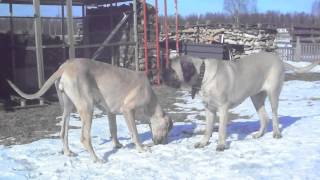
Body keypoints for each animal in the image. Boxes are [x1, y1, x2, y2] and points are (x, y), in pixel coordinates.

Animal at [7, 58, 172, 162]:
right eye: (167, 129)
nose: (161, 143)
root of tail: (65, 66)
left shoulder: (110, 112)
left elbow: (113, 130)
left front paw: (117, 145)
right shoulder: (128, 110)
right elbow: (135, 134)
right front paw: (141, 149)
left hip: (67, 107)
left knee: (63, 132)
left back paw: (68, 152)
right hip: (87, 108)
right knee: (84, 137)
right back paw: (96, 159)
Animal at [164, 52, 318, 150]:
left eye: (171, 70)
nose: (161, 74)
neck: (203, 75)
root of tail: (279, 59)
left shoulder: (223, 108)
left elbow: (221, 129)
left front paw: (221, 145)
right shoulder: (209, 109)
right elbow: (208, 129)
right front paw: (203, 143)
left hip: (273, 94)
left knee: (274, 116)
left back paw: (276, 133)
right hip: (256, 98)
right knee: (264, 117)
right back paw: (259, 134)